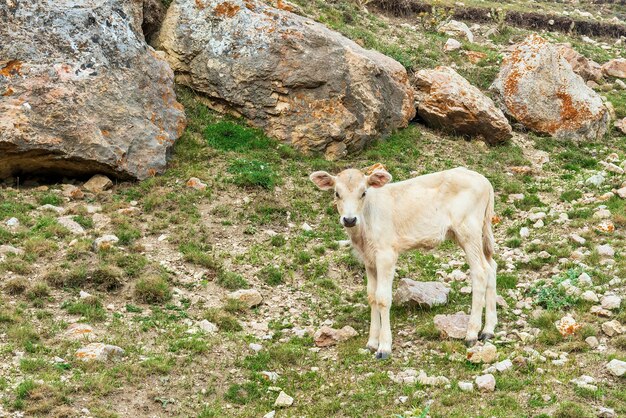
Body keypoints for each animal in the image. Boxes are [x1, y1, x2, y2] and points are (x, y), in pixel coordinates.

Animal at [310, 167, 494, 360]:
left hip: (468, 232)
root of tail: (482, 179)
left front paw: (384, 347)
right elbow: (371, 296)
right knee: (491, 268)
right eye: (337, 193)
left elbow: (383, 298)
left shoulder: (386, 255)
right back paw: (488, 330)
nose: (350, 219)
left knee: (480, 272)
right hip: (475, 235)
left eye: (363, 192)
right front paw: (371, 343)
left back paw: (471, 334)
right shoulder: (369, 260)